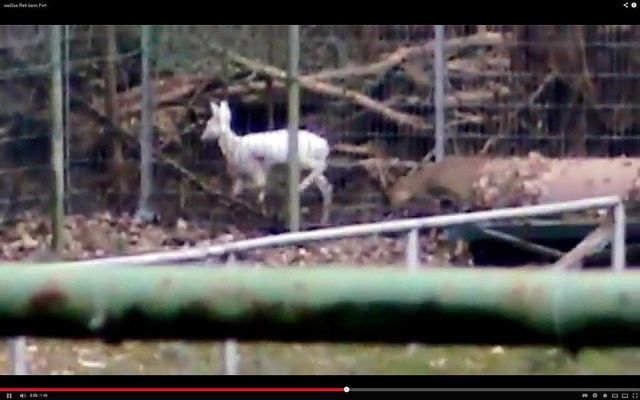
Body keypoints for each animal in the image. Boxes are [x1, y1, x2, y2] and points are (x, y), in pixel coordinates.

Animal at [202, 99, 336, 225]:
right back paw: (323, 220)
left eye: (209, 124)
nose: (202, 137)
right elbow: (236, 191)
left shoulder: (253, 166)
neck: (234, 147)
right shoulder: (249, 172)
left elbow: (259, 184)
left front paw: (261, 206)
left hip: (302, 158)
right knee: (326, 186)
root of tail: (325, 146)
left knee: (321, 167)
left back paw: (301, 187)